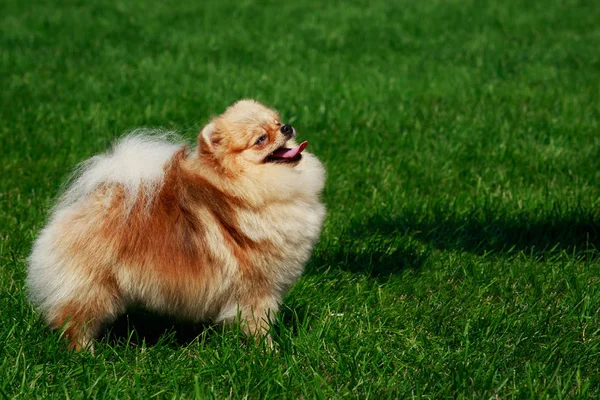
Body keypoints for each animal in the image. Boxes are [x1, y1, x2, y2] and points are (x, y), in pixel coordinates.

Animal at [27, 101, 328, 350]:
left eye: (277, 122)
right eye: (260, 139)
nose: (286, 127)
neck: (244, 190)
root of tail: (94, 201)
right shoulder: (257, 288)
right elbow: (258, 325)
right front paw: (269, 352)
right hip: (93, 287)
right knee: (75, 323)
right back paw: (85, 354)